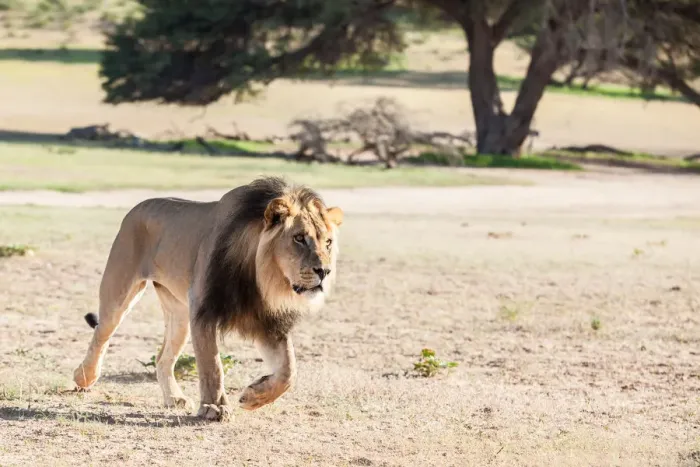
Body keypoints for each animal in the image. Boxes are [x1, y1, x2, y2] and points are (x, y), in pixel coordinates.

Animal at [73, 177, 343, 421]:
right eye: (299, 238)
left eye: (328, 242)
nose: (324, 271)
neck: (261, 279)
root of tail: (138, 206)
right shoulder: (203, 310)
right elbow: (212, 365)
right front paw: (214, 408)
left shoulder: (268, 321)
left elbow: (289, 370)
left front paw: (253, 397)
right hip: (120, 291)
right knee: (101, 334)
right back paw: (83, 377)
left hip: (179, 316)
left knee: (162, 358)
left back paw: (174, 398)